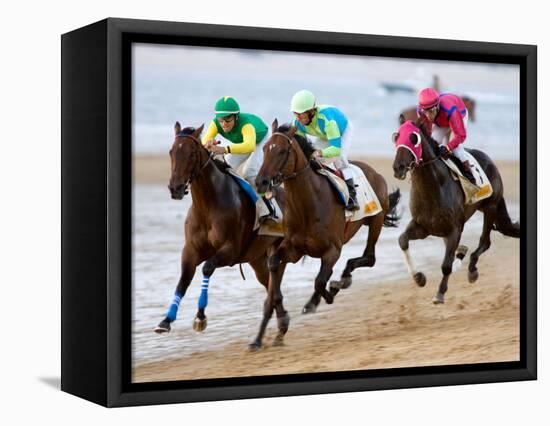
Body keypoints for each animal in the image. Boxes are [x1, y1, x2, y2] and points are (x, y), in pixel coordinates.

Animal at [154, 121, 288, 342]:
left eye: (191, 153)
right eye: (171, 151)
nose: (175, 188)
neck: (208, 206)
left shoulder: (231, 250)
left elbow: (207, 268)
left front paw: (200, 316)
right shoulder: (191, 250)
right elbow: (183, 280)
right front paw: (166, 320)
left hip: (275, 252)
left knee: (274, 282)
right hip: (257, 259)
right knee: (269, 283)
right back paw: (281, 322)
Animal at [253, 119, 402, 350]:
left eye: (282, 151)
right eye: (265, 148)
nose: (261, 182)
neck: (308, 205)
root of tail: (374, 172)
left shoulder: (333, 250)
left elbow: (320, 281)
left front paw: (327, 296)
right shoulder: (293, 249)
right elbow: (276, 263)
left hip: (375, 220)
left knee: (369, 257)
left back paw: (340, 282)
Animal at [394, 116, 520, 302]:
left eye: (413, 138)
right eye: (396, 137)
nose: (398, 168)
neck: (432, 188)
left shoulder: (455, 228)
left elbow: (446, 265)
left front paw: (440, 293)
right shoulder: (422, 226)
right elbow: (402, 240)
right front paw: (419, 277)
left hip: (490, 206)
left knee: (485, 242)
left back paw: (472, 269)